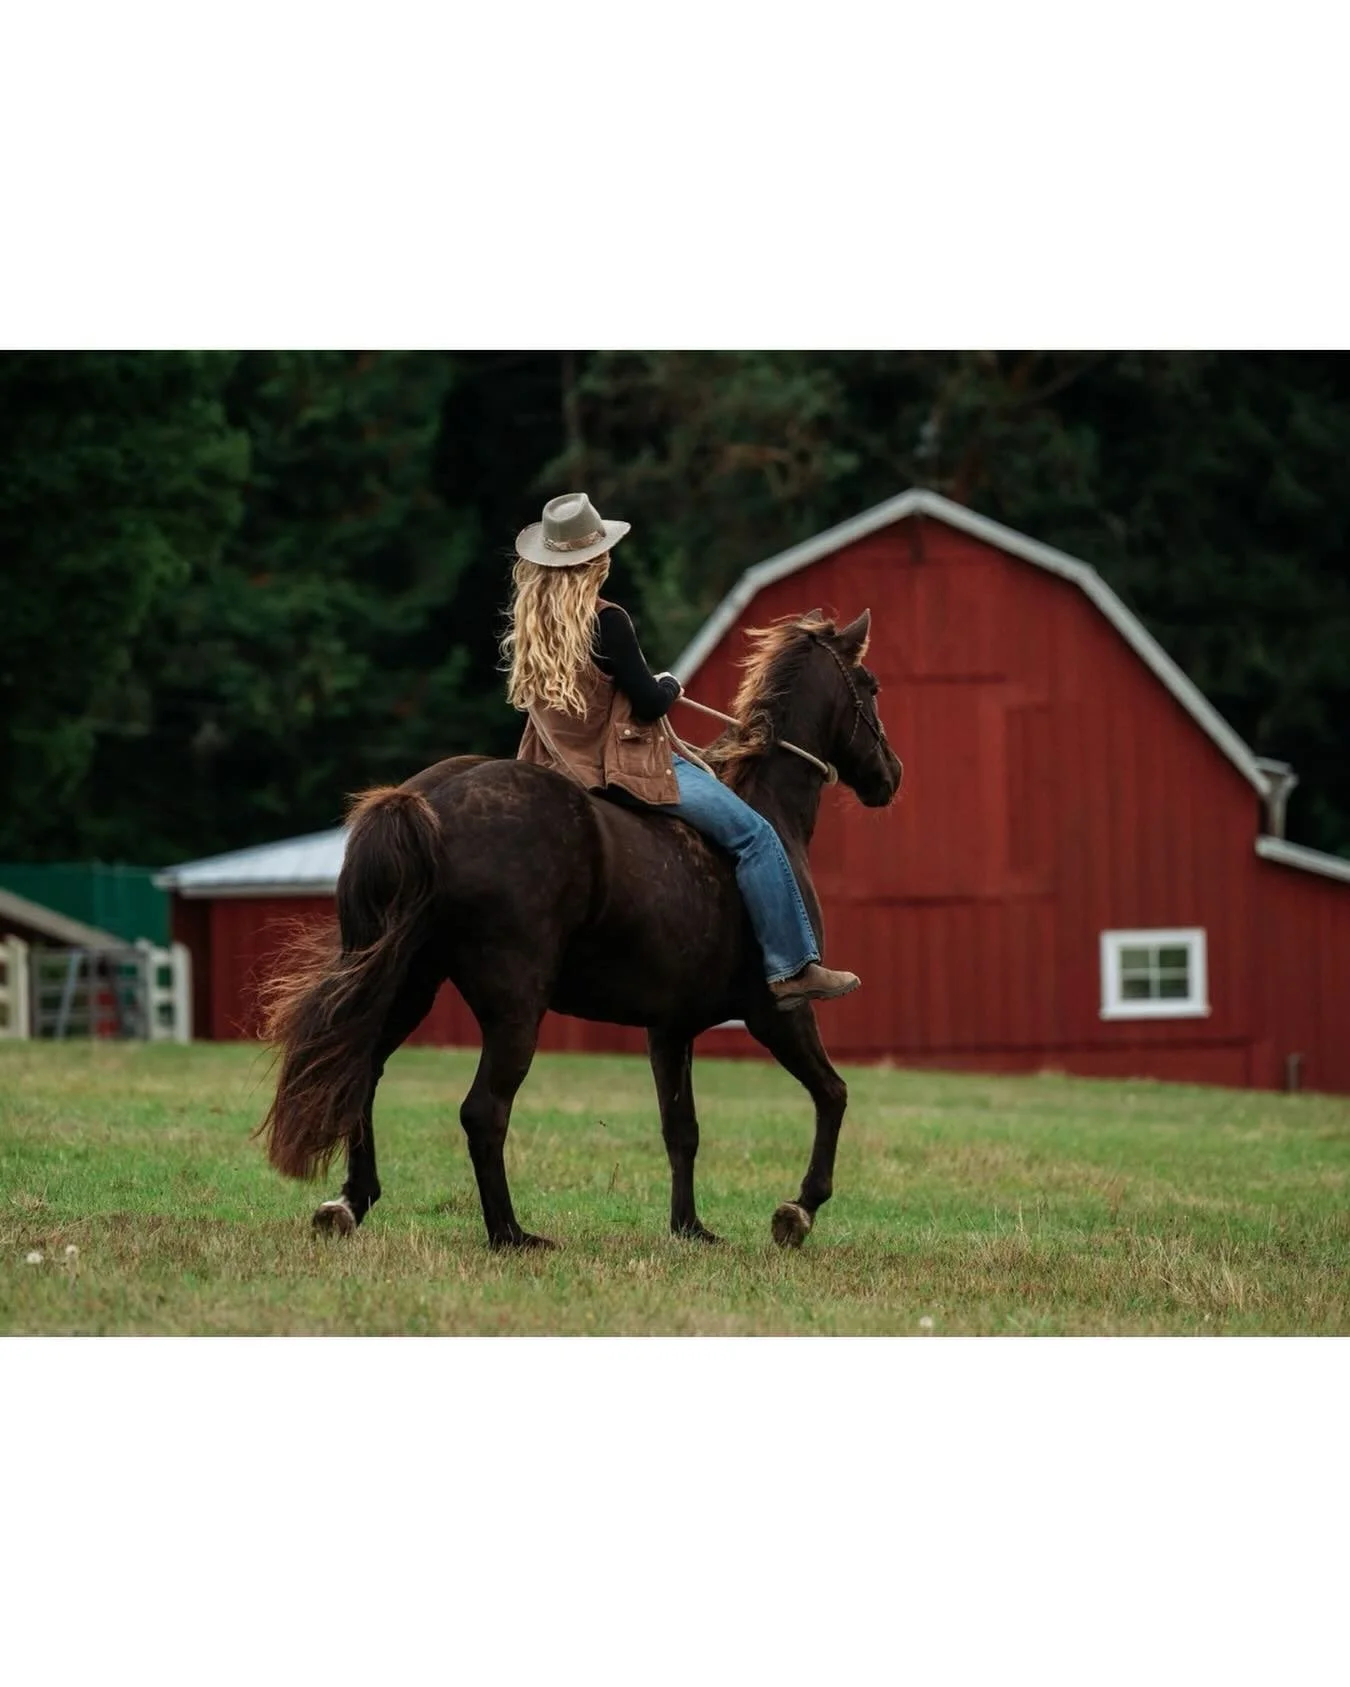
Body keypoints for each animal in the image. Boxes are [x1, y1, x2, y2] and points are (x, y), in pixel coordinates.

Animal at [257, 608, 903, 1249]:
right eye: (869, 686)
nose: (891, 774)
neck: (768, 809)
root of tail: (424, 801)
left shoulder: (670, 1028)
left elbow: (682, 1129)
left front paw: (690, 1227)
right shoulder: (779, 1011)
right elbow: (833, 1094)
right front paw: (799, 1209)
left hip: (406, 983)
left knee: (359, 1073)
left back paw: (350, 1202)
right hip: (515, 1008)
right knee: (482, 1110)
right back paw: (510, 1233)